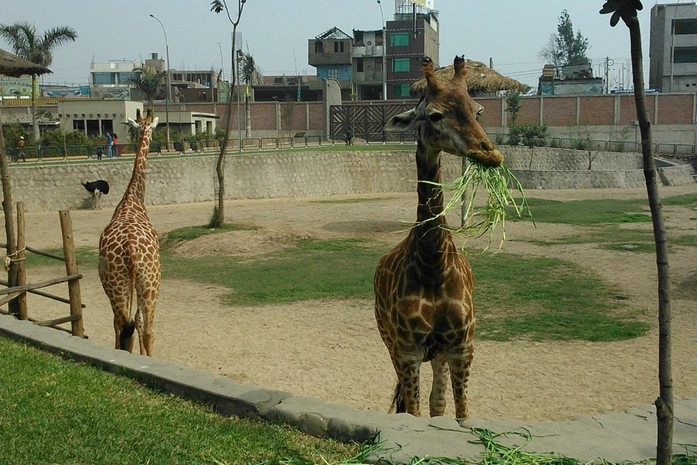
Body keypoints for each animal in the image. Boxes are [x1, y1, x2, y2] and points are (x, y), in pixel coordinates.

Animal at [98, 109, 160, 356]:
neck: (132, 198)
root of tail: (132, 252)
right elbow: (136, 322)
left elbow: (122, 323)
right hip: (146, 283)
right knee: (141, 326)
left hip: (124, 284)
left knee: (127, 324)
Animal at [372, 56, 502, 418]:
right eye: (434, 115)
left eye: (477, 110)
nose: (489, 153)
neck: (433, 264)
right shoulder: (408, 349)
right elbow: (413, 411)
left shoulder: (461, 346)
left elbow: (460, 414)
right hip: (390, 342)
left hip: (439, 354)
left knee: (437, 402)